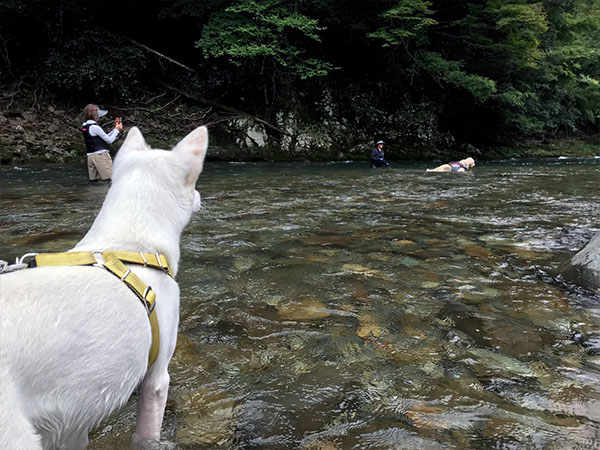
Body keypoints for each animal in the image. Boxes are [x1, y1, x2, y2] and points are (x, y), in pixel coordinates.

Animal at [0, 125, 210, 448]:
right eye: (193, 182)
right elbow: (147, 434)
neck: (131, 244)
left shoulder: (73, 420)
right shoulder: (157, 379)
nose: (201, 195)